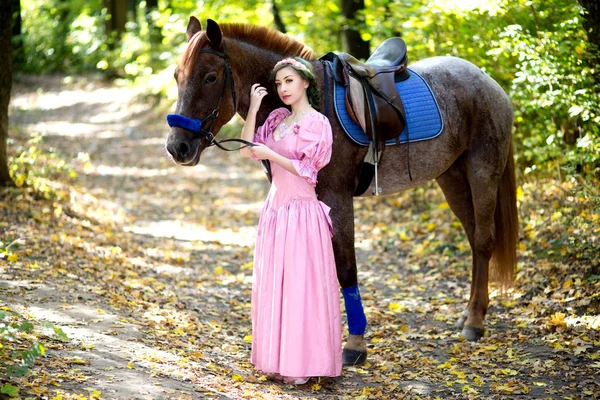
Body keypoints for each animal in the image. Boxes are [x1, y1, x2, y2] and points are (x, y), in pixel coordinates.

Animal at [164, 16, 516, 366]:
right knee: (473, 238)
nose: (177, 147)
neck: (310, 102)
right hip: (452, 178)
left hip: (482, 172)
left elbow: (346, 268)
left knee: (483, 240)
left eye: (210, 77)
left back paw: (475, 322)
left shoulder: (337, 197)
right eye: (177, 76)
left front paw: (355, 344)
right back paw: (469, 312)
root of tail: (490, 82)